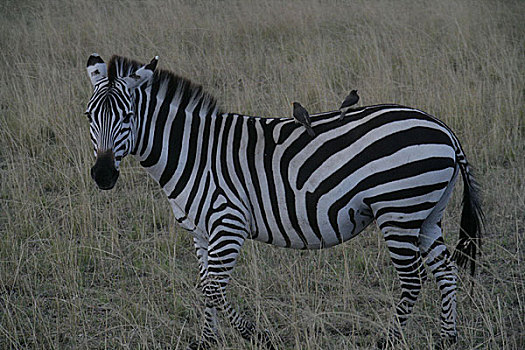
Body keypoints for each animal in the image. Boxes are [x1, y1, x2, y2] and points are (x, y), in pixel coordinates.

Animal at [84, 53, 482, 348]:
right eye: (89, 116)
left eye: (128, 116)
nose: (102, 175)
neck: (194, 153)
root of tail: (443, 129)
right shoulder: (200, 232)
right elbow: (205, 287)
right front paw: (207, 341)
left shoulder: (228, 223)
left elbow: (214, 288)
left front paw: (256, 336)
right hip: (426, 213)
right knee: (445, 271)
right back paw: (447, 338)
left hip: (398, 210)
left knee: (414, 278)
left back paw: (389, 340)